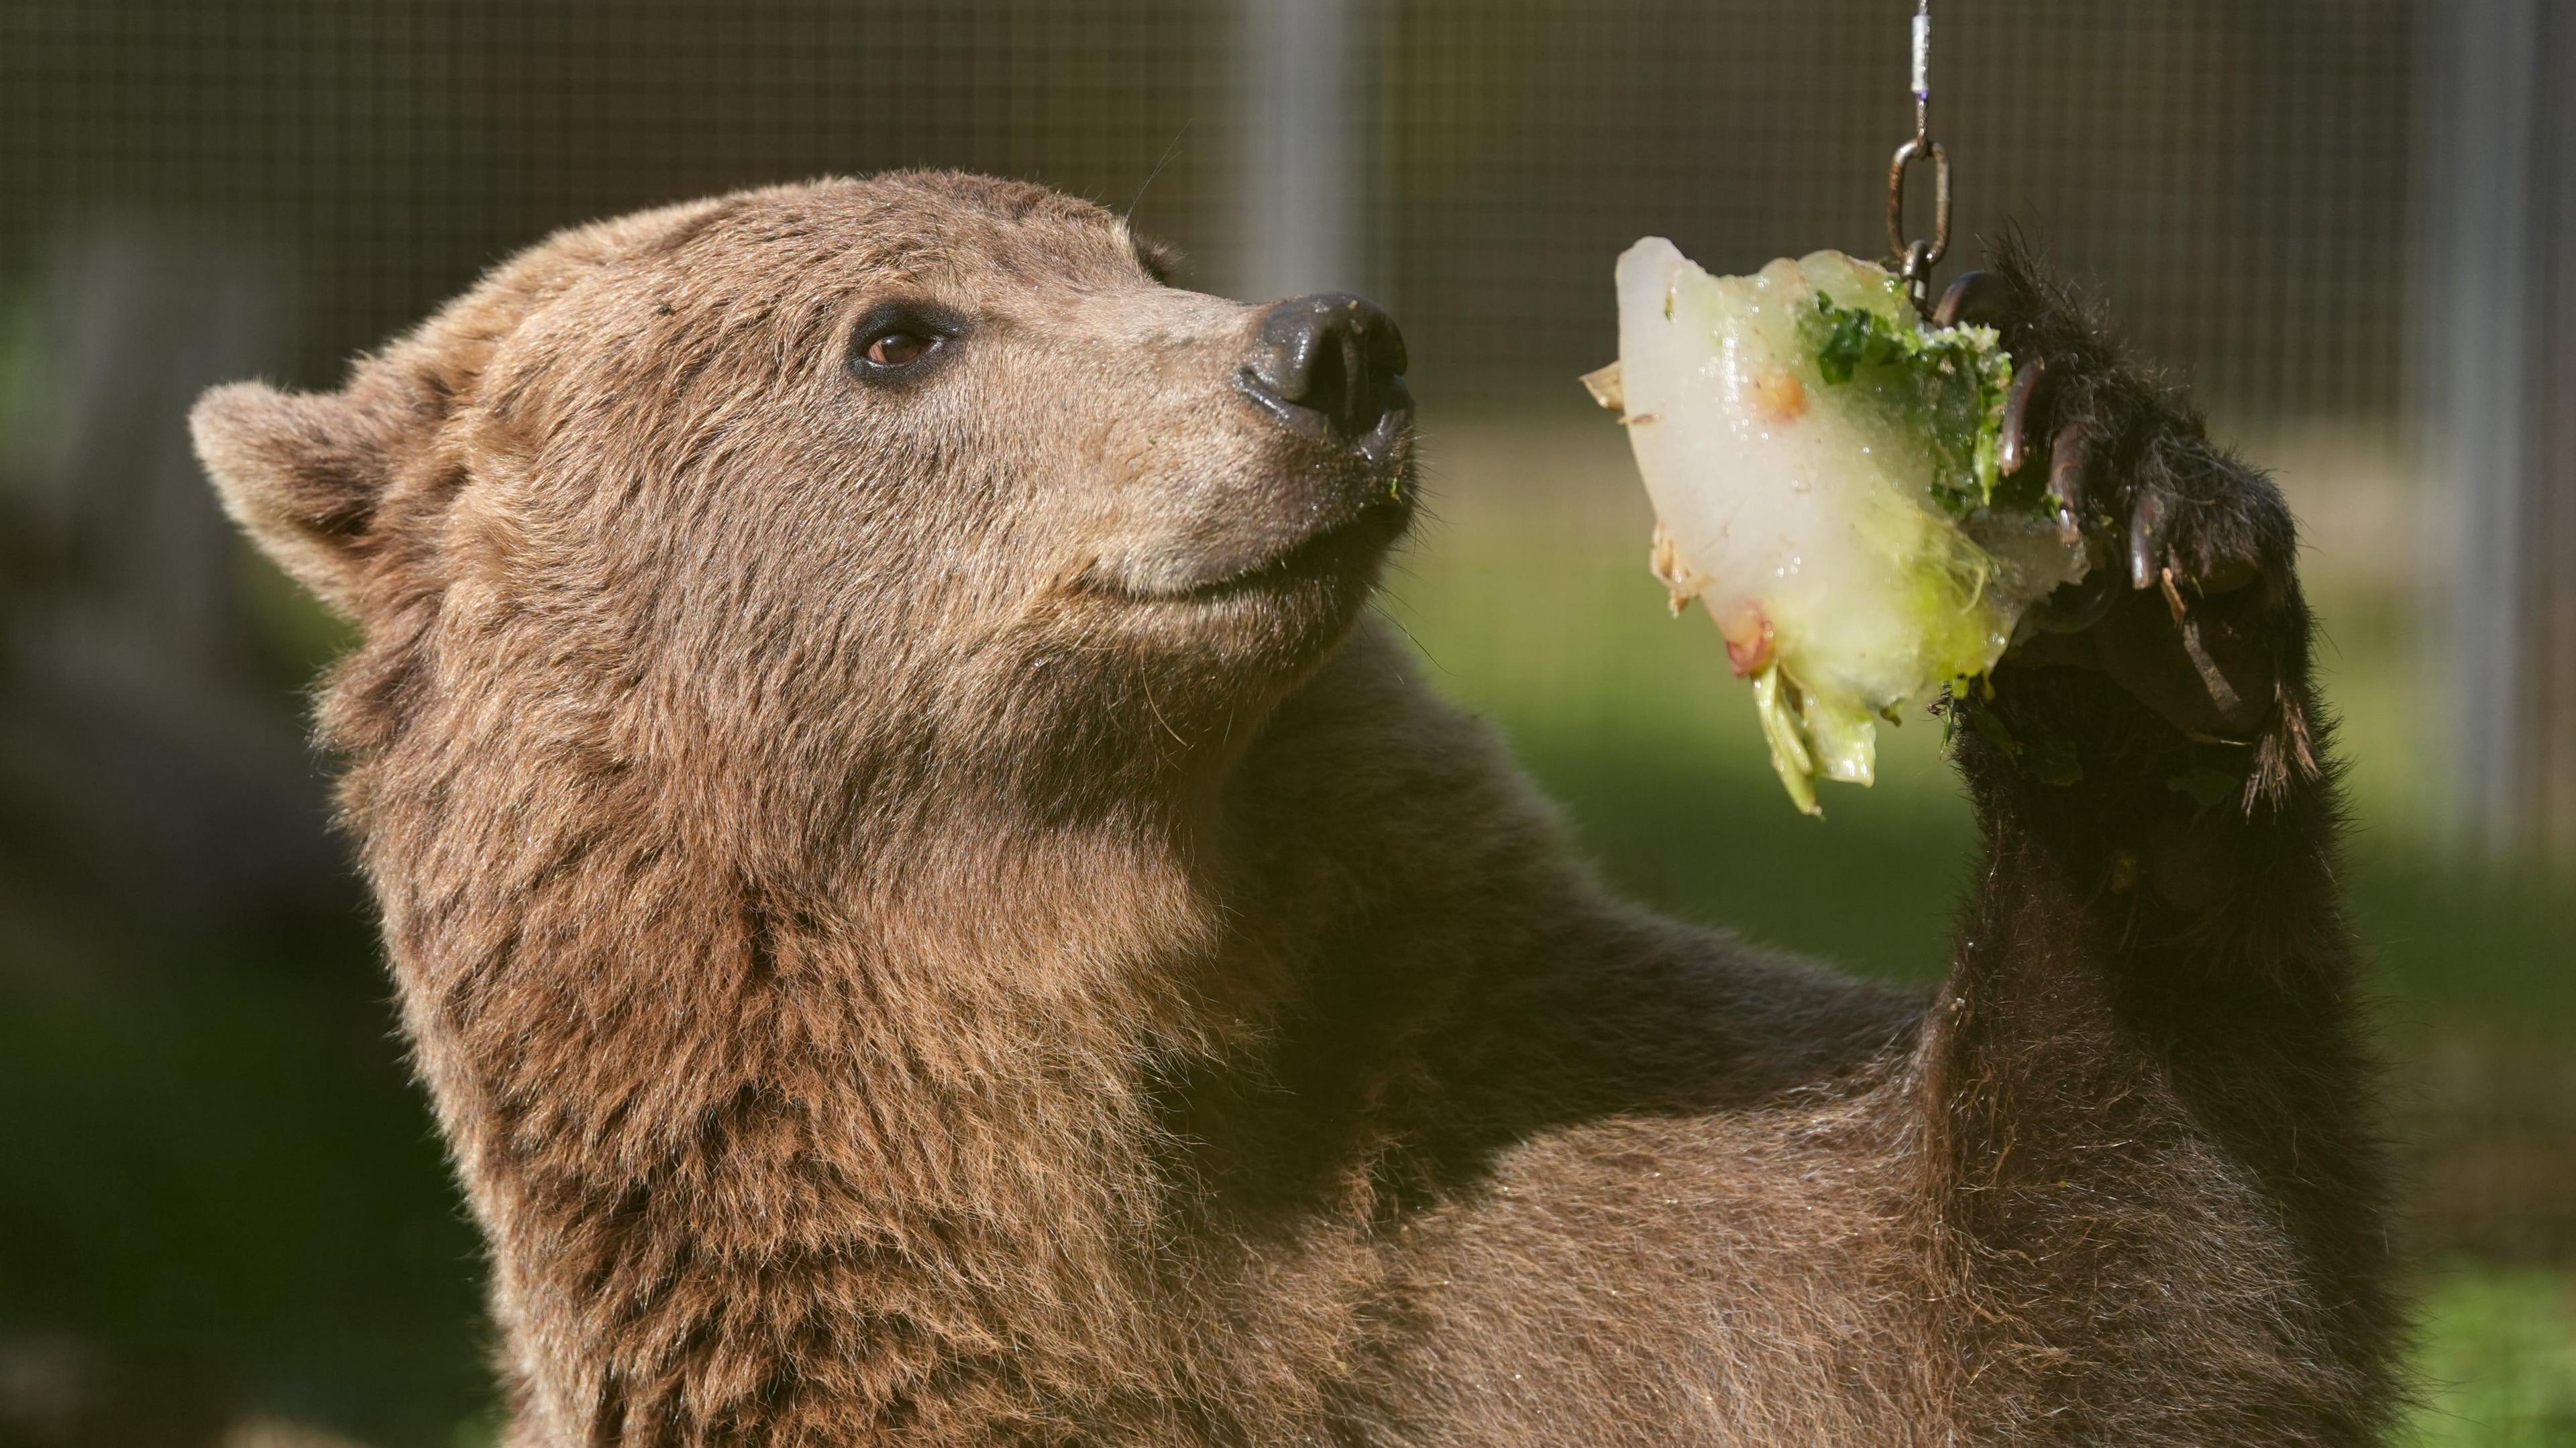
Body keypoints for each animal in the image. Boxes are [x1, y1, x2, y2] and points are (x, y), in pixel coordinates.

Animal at [191, 171, 2400, 1443]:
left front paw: (2109, 528)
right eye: (897, 331)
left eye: (1143, 253)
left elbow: (2061, 1324)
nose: (1322, 347)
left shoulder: (1528, 1188)